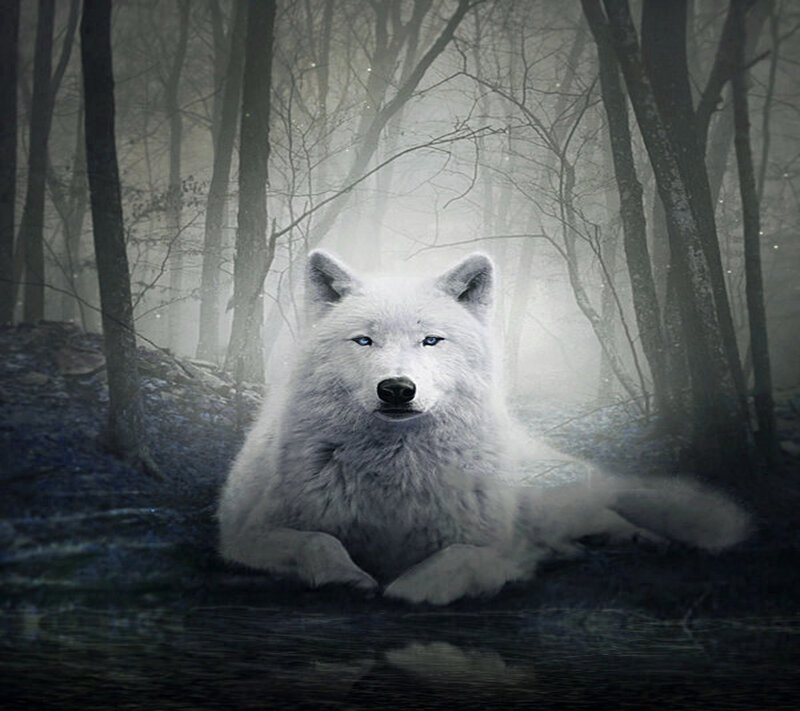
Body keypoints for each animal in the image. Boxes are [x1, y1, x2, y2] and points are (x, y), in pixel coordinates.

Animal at [217, 250, 751, 605]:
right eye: (364, 341)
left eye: (431, 340)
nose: (397, 389)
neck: (394, 473)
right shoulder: (244, 536)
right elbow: (317, 540)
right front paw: (349, 577)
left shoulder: (491, 544)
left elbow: (457, 559)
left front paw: (410, 588)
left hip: (550, 499)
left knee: (603, 513)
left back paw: (639, 539)